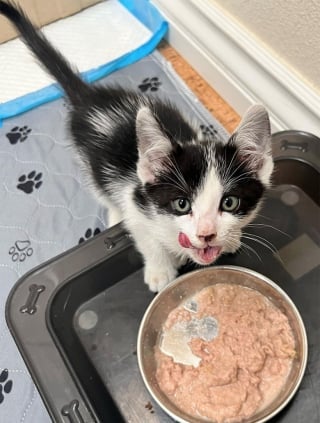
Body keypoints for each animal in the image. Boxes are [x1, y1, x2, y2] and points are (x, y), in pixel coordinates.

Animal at [0, 0, 276, 292]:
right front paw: (160, 271)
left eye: (230, 202)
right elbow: (148, 239)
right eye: (182, 204)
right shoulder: (136, 202)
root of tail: (89, 95)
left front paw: (231, 238)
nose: (207, 234)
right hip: (89, 161)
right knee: (102, 191)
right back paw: (113, 215)